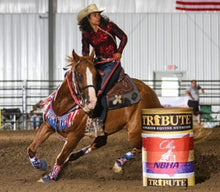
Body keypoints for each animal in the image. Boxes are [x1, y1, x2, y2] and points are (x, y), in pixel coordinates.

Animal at [27, 48, 162, 182]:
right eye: (79, 75)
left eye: (96, 75)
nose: (91, 102)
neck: (64, 106)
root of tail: (153, 96)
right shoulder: (47, 125)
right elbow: (31, 149)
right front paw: (40, 165)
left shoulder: (75, 135)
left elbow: (61, 157)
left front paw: (50, 177)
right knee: (99, 143)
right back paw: (75, 156)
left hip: (134, 132)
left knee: (140, 147)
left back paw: (118, 164)